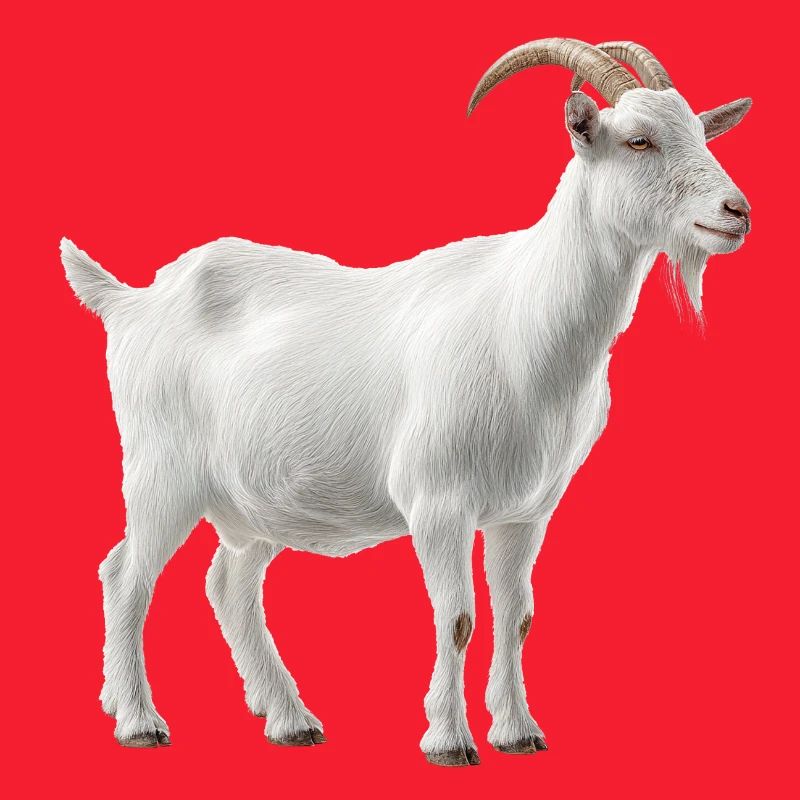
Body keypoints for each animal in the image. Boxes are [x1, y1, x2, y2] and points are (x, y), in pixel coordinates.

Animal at [62, 38, 751, 766]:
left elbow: (518, 616)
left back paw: (288, 718)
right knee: (126, 576)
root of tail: (130, 301)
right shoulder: (438, 500)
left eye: (701, 132)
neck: (522, 320)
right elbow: (457, 617)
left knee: (229, 583)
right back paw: (138, 720)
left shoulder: (524, 512)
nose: (736, 212)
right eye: (639, 140)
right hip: (160, 472)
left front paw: (518, 731)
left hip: (253, 500)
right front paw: (449, 739)